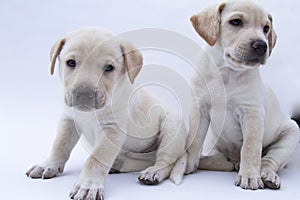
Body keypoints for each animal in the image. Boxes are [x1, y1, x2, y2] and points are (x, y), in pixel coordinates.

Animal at [25, 27, 186, 199]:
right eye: (71, 63)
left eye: (109, 68)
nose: (84, 94)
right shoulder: (68, 120)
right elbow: (59, 145)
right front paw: (48, 165)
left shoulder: (112, 129)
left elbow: (97, 157)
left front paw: (88, 184)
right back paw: (117, 165)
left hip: (171, 128)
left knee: (165, 161)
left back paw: (153, 172)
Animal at [186, 0, 298, 191]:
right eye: (236, 22)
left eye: (266, 28)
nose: (262, 45)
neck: (226, 72)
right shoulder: (200, 109)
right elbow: (194, 141)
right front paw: (185, 164)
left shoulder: (252, 113)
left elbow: (250, 147)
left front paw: (250, 176)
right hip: (216, 145)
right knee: (221, 162)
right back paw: (210, 161)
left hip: (291, 133)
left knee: (268, 160)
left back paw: (267, 176)